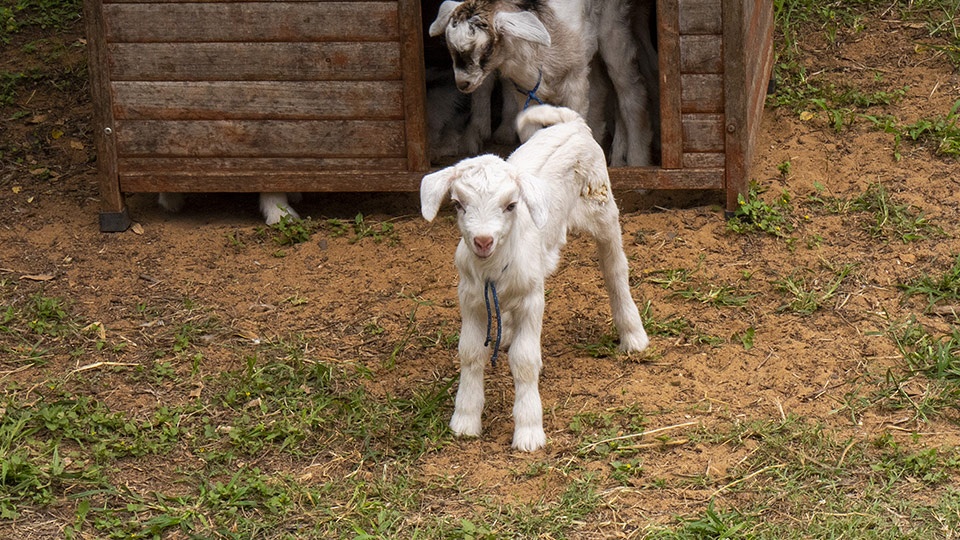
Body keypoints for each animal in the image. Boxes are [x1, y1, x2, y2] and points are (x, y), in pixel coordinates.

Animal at [420, 104, 649, 451]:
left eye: (511, 205)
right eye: (458, 204)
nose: (483, 240)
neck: (495, 269)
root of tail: (572, 123)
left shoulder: (532, 299)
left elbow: (525, 360)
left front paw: (528, 431)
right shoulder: (470, 298)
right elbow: (470, 352)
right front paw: (465, 420)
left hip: (602, 205)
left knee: (614, 269)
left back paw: (633, 334)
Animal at [428, 0, 653, 166]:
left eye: (487, 48)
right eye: (450, 48)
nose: (462, 83)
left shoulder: (574, 82)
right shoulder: (525, 92)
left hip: (613, 29)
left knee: (630, 92)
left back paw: (636, 160)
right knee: (600, 91)